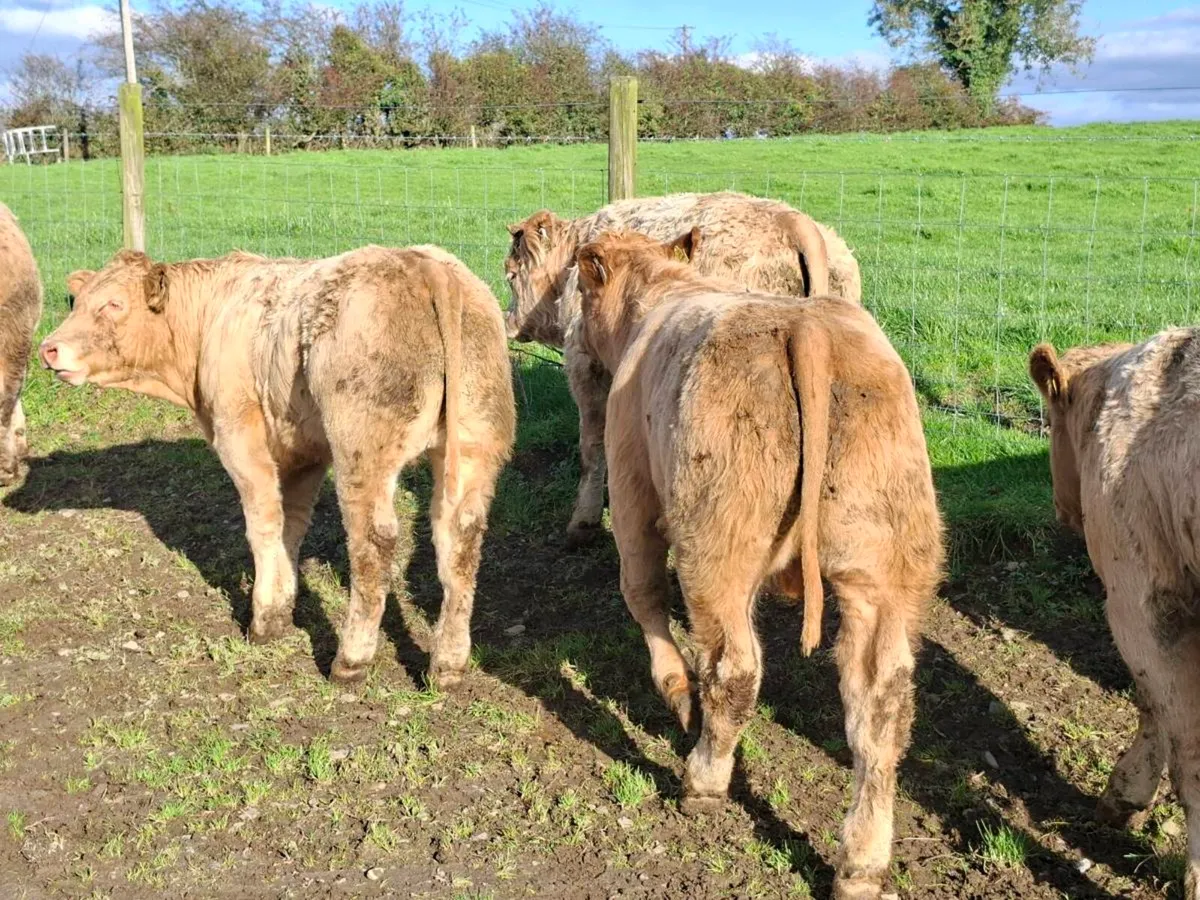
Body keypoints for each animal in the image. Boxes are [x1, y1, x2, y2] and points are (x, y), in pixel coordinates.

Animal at [42, 246, 515, 687]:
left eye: (114, 304)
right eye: (77, 300)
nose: (49, 348)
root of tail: (421, 261)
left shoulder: (239, 434)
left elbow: (264, 522)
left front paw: (264, 620)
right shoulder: (304, 451)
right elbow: (292, 525)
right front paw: (284, 604)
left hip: (363, 450)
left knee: (373, 542)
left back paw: (351, 660)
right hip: (474, 444)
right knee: (461, 540)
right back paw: (447, 666)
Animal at [502, 191, 862, 547]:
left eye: (510, 274)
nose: (508, 321)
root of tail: (793, 221)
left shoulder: (587, 368)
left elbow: (592, 447)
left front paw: (583, 521)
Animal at [575, 230, 943, 900]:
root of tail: (809, 325)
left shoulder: (633, 481)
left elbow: (642, 590)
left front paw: (677, 694)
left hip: (717, 546)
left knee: (736, 670)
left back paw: (703, 780)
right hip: (886, 568)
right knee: (881, 705)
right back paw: (861, 864)